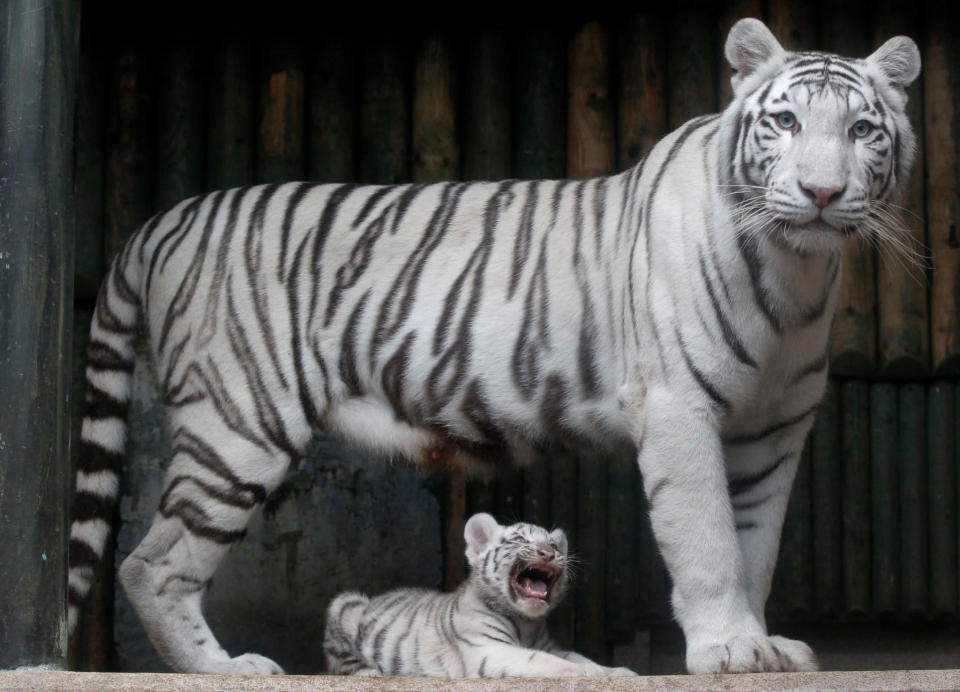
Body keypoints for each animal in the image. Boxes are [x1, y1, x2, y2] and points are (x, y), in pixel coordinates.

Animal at [69, 17, 924, 676]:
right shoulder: (680, 408)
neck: (796, 269)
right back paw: (223, 669)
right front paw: (730, 649)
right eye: (785, 123)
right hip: (236, 423)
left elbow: (756, 544)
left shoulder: (772, 432)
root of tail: (162, 219)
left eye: (861, 130)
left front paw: (764, 643)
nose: (821, 193)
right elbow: (709, 538)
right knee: (153, 563)